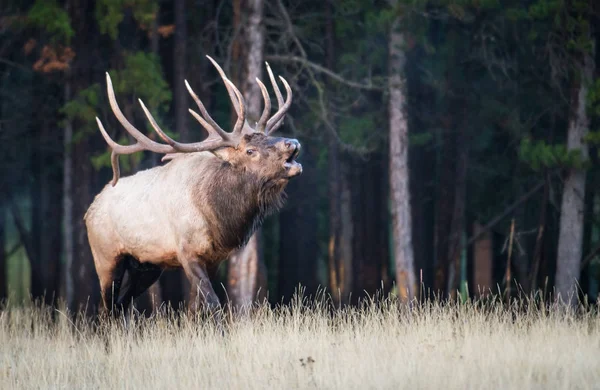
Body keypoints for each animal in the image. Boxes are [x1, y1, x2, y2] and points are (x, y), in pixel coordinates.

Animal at [84, 56, 300, 316]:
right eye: (250, 151)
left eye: (268, 138)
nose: (292, 142)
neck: (218, 218)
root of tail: (89, 211)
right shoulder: (187, 252)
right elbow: (212, 303)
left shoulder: (215, 259)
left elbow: (196, 308)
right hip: (105, 257)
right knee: (107, 307)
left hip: (144, 266)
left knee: (121, 305)